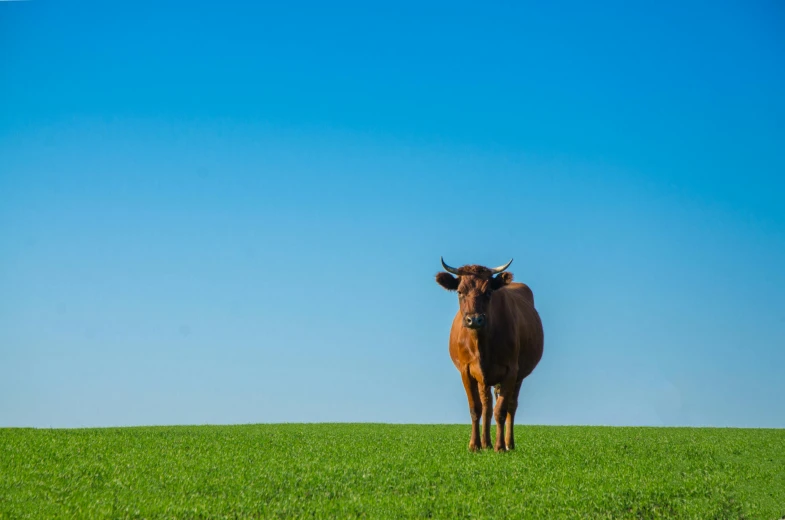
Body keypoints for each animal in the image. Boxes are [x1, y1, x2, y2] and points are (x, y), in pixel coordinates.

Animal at [432, 256, 544, 450]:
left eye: (488, 292)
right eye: (460, 292)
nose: (474, 319)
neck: (481, 344)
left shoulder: (511, 371)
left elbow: (501, 410)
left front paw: (500, 447)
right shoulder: (466, 371)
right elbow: (476, 408)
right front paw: (475, 445)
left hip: (518, 375)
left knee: (511, 406)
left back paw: (508, 444)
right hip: (483, 378)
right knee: (487, 405)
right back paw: (486, 443)